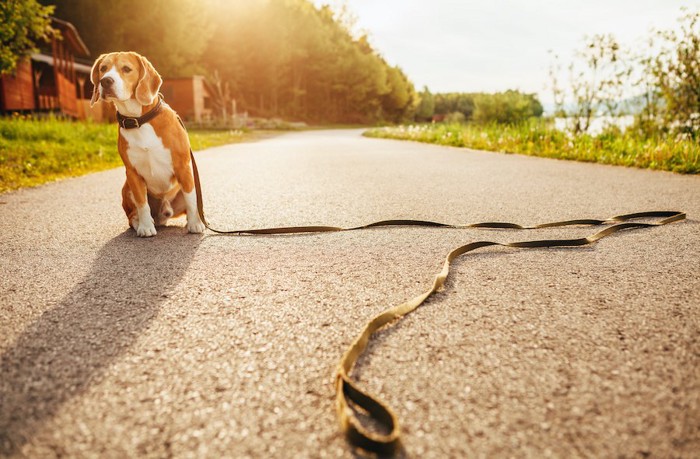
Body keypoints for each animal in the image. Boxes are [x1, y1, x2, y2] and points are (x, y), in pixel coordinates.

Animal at [90, 51, 205, 235]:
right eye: (103, 68)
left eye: (126, 69)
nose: (105, 81)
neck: (139, 119)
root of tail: (162, 214)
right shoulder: (132, 173)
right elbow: (142, 204)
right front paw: (145, 227)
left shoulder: (183, 167)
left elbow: (191, 199)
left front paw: (195, 224)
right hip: (127, 188)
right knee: (132, 215)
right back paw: (141, 222)